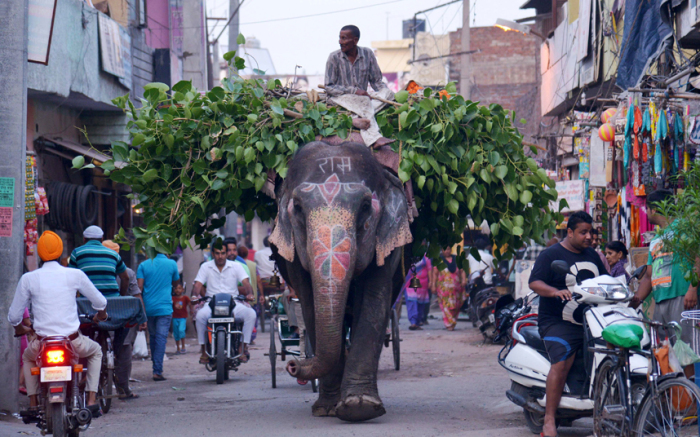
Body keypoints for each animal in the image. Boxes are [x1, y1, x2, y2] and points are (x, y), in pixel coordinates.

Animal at [266, 140, 410, 418]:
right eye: (297, 207)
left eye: (365, 207)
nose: (293, 365)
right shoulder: (294, 256)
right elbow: (309, 304)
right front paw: (328, 409)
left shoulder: (385, 245)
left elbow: (374, 300)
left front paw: (360, 406)